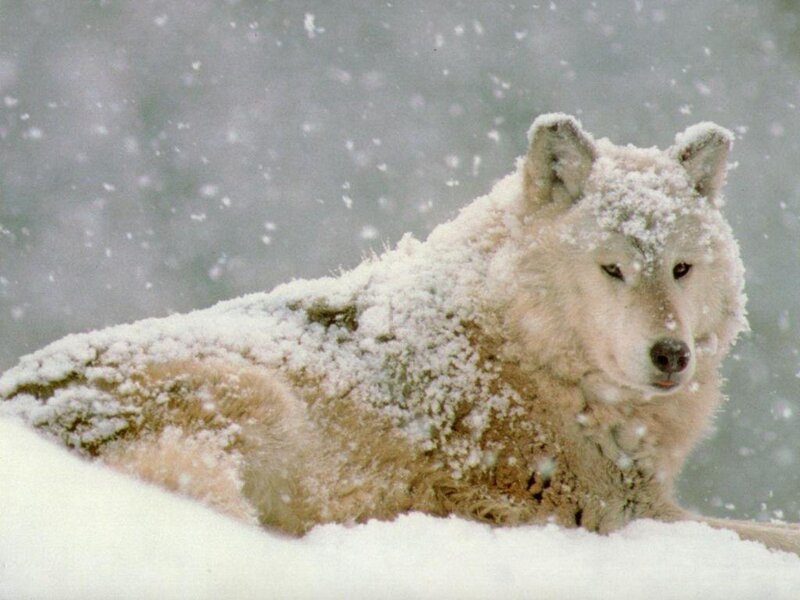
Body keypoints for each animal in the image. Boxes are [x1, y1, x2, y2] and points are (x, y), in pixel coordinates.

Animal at [3, 114, 800, 553]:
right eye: (612, 269)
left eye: (682, 268)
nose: (672, 355)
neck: (528, 351)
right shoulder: (620, 513)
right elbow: (768, 534)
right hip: (251, 395)